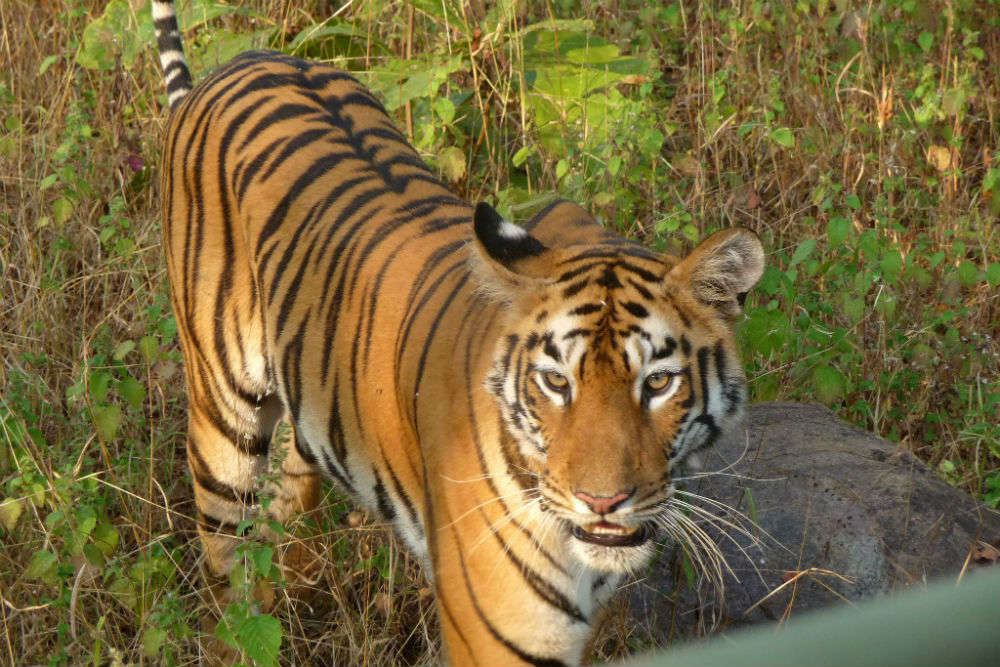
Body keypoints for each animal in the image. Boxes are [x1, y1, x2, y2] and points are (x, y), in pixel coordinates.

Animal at [154, 2, 764, 664]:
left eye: (657, 383)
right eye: (556, 383)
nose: (602, 503)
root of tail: (232, 66)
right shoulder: (501, 636)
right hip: (223, 425)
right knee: (228, 565)